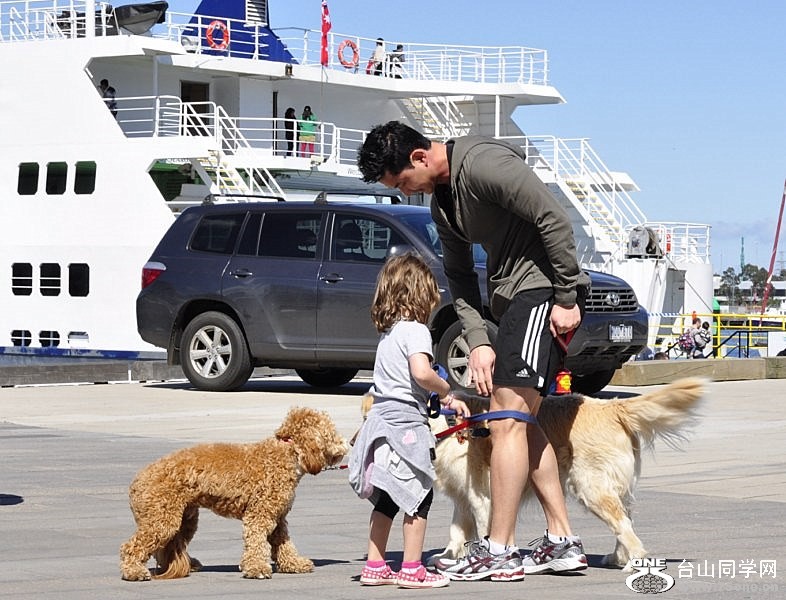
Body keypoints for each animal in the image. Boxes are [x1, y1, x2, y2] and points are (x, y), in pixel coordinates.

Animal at [119, 407, 348, 581]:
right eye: (332, 433)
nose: (347, 443)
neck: (285, 454)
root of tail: (137, 480)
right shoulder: (260, 514)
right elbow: (256, 541)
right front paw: (257, 568)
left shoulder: (278, 518)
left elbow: (283, 544)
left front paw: (294, 564)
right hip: (161, 519)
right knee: (131, 547)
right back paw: (133, 571)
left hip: (185, 519)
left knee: (167, 548)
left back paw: (188, 564)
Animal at [360, 378, 704, 571]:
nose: (354, 443)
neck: (447, 425)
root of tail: (612, 407)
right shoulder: (462, 496)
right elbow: (457, 530)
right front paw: (449, 555)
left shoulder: (480, 495)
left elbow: (481, 529)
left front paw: (480, 559)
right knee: (625, 520)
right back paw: (617, 557)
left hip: (589, 485)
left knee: (623, 524)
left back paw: (634, 561)